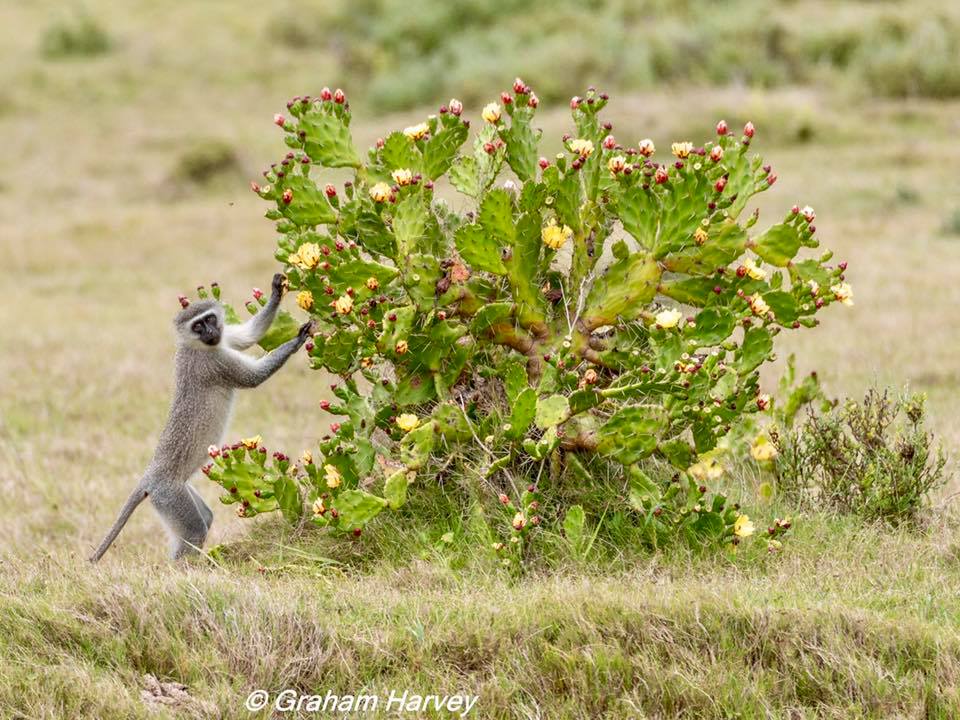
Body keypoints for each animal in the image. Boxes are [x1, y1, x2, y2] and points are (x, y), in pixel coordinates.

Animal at [90, 273, 312, 562]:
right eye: (197, 326)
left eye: (210, 320)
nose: (210, 333)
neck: (195, 346)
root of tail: (149, 478)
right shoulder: (216, 365)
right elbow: (253, 378)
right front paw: (297, 340)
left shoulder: (225, 338)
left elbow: (248, 335)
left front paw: (276, 291)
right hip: (170, 497)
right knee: (195, 529)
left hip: (177, 495)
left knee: (204, 518)